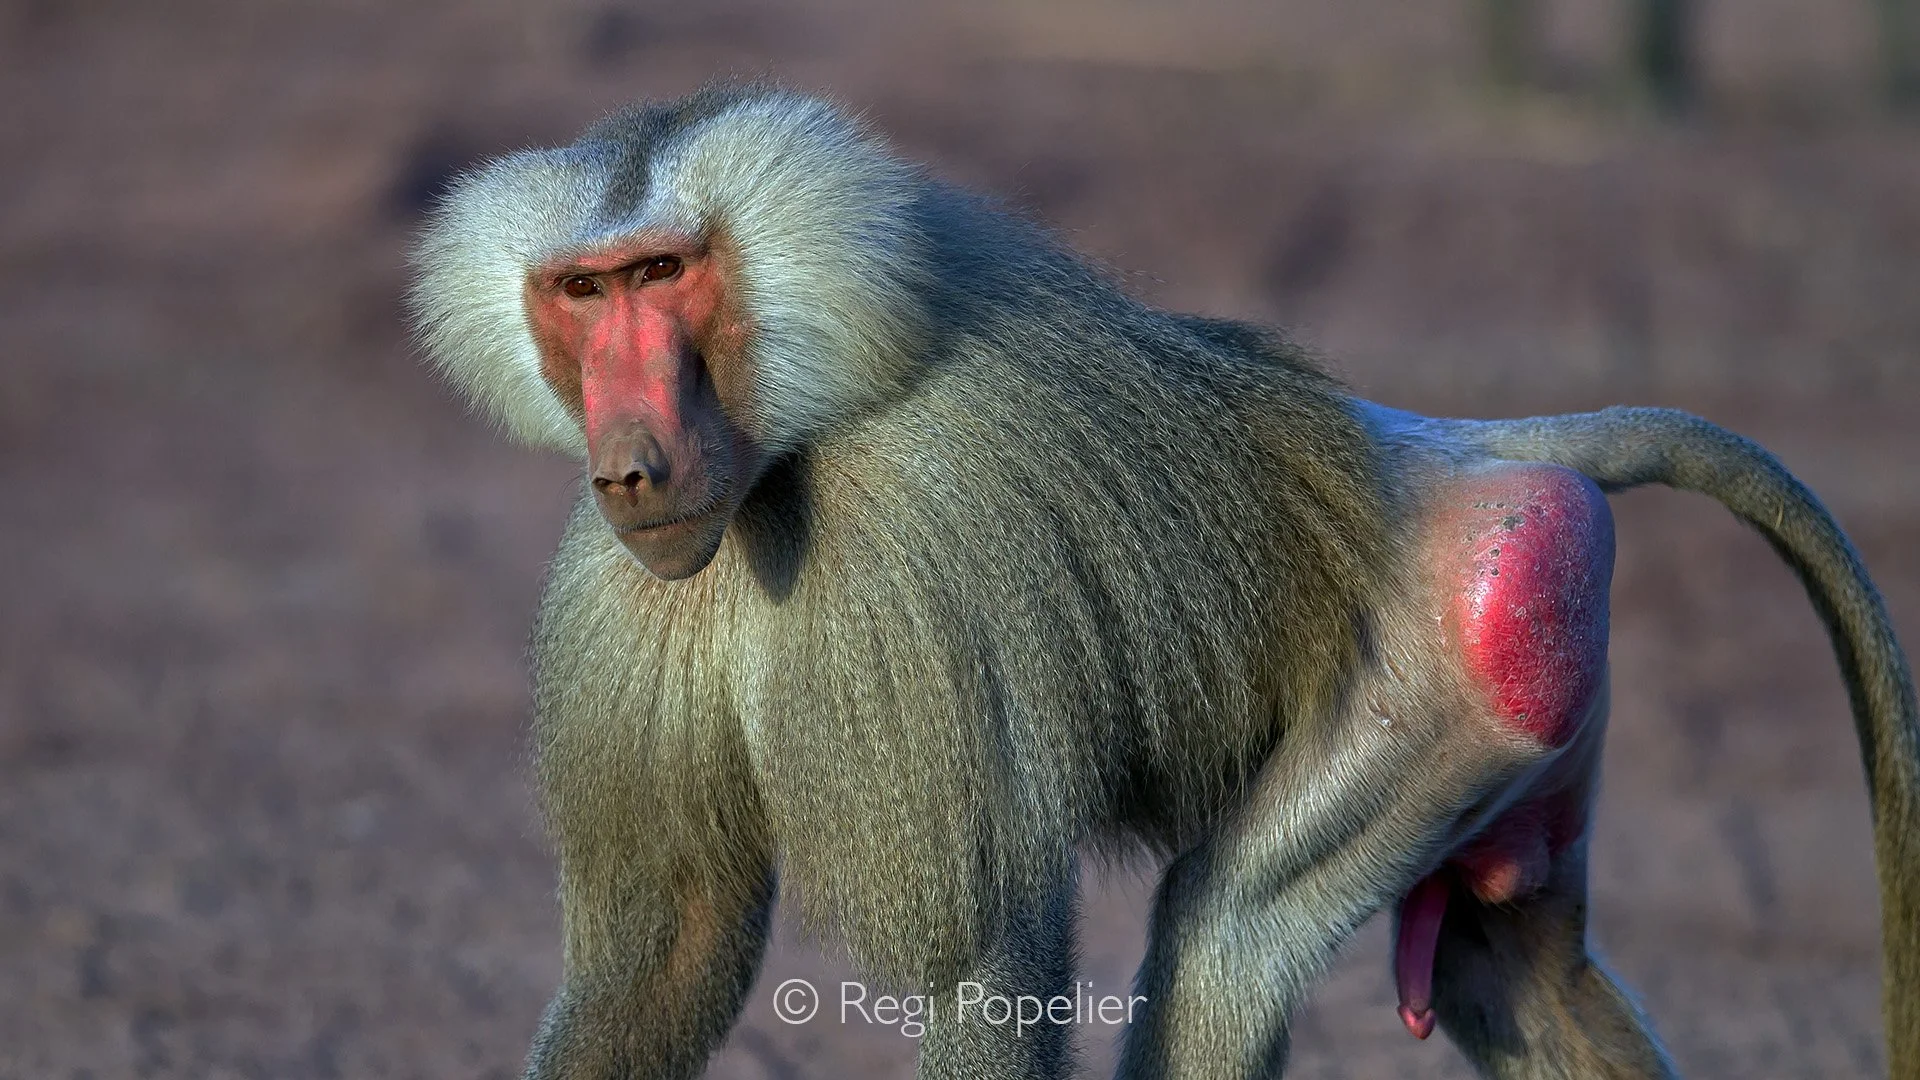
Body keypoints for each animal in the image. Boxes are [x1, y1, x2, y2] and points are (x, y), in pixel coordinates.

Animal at [407, 83, 1918, 1079]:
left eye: (665, 273)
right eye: (582, 295)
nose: (631, 465)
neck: (781, 449)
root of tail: (1439, 445)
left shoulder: (902, 560)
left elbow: (980, 969)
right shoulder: (622, 582)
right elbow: (660, 959)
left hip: (1448, 675)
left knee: (1224, 946)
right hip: (1539, 659)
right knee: (1514, 963)